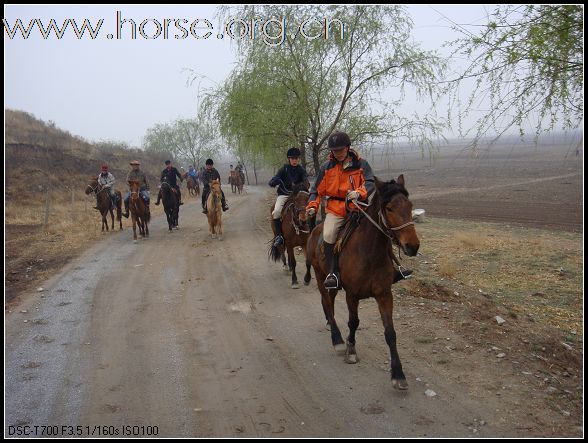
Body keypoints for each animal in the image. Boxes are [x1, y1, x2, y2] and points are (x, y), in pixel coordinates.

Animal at [306, 175, 420, 390]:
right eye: (389, 208)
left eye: (410, 206)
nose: (413, 246)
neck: (369, 252)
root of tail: (316, 228)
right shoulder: (352, 294)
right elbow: (353, 322)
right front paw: (351, 350)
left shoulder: (384, 295)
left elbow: (390, 333)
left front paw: (398, 374)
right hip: (319, 276)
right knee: (327, 303)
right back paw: (337, 339)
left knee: (329, 303)